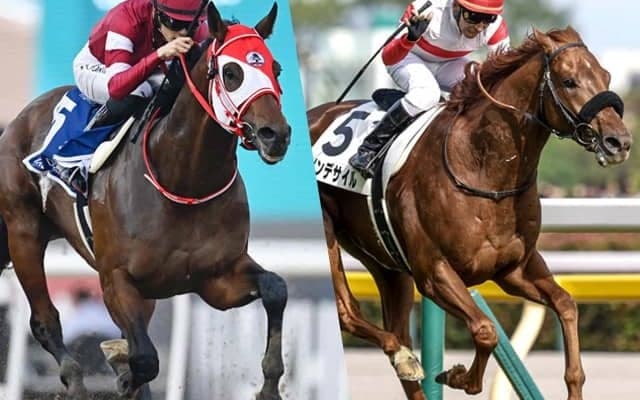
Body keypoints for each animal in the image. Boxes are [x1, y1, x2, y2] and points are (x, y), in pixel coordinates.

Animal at [0, 3, 290, 400]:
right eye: (231, 72)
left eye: (275, 68)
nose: (276, 135)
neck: (185, 180)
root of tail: (20, 119)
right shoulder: (116, 280)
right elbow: (144, 360)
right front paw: (122, 374)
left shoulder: (217, 278)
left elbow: (276, 288)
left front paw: (270, 386)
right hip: (23, 231)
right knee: (45, 321)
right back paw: (76, 382)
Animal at [308, 27, 632, 400]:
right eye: (569, 81)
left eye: (606, 76)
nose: (619, 142)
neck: (483, 167)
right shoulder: (434, 272)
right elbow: (486, 330)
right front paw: (458, 376)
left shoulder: (514, 269)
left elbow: (566, 304)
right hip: (330, 237)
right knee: (348, 312)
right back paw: (404, 357)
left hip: (386, 262)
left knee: (398, 334)